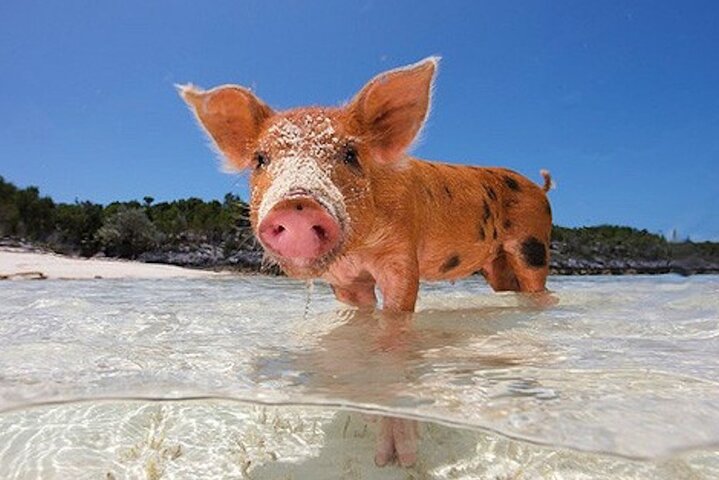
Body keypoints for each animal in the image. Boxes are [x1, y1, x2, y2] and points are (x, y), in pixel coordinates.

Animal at [179, 56, 553, 467]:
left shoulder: (401, 257)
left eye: (350, 155)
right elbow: (358, 325)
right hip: (497, 267)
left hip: (534, 245)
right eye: (260, 159)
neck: (358, 252)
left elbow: (395, 323)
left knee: (542, 290)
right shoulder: (344, 280)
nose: (298, 203)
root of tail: (539, 188)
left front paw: (398, 458)